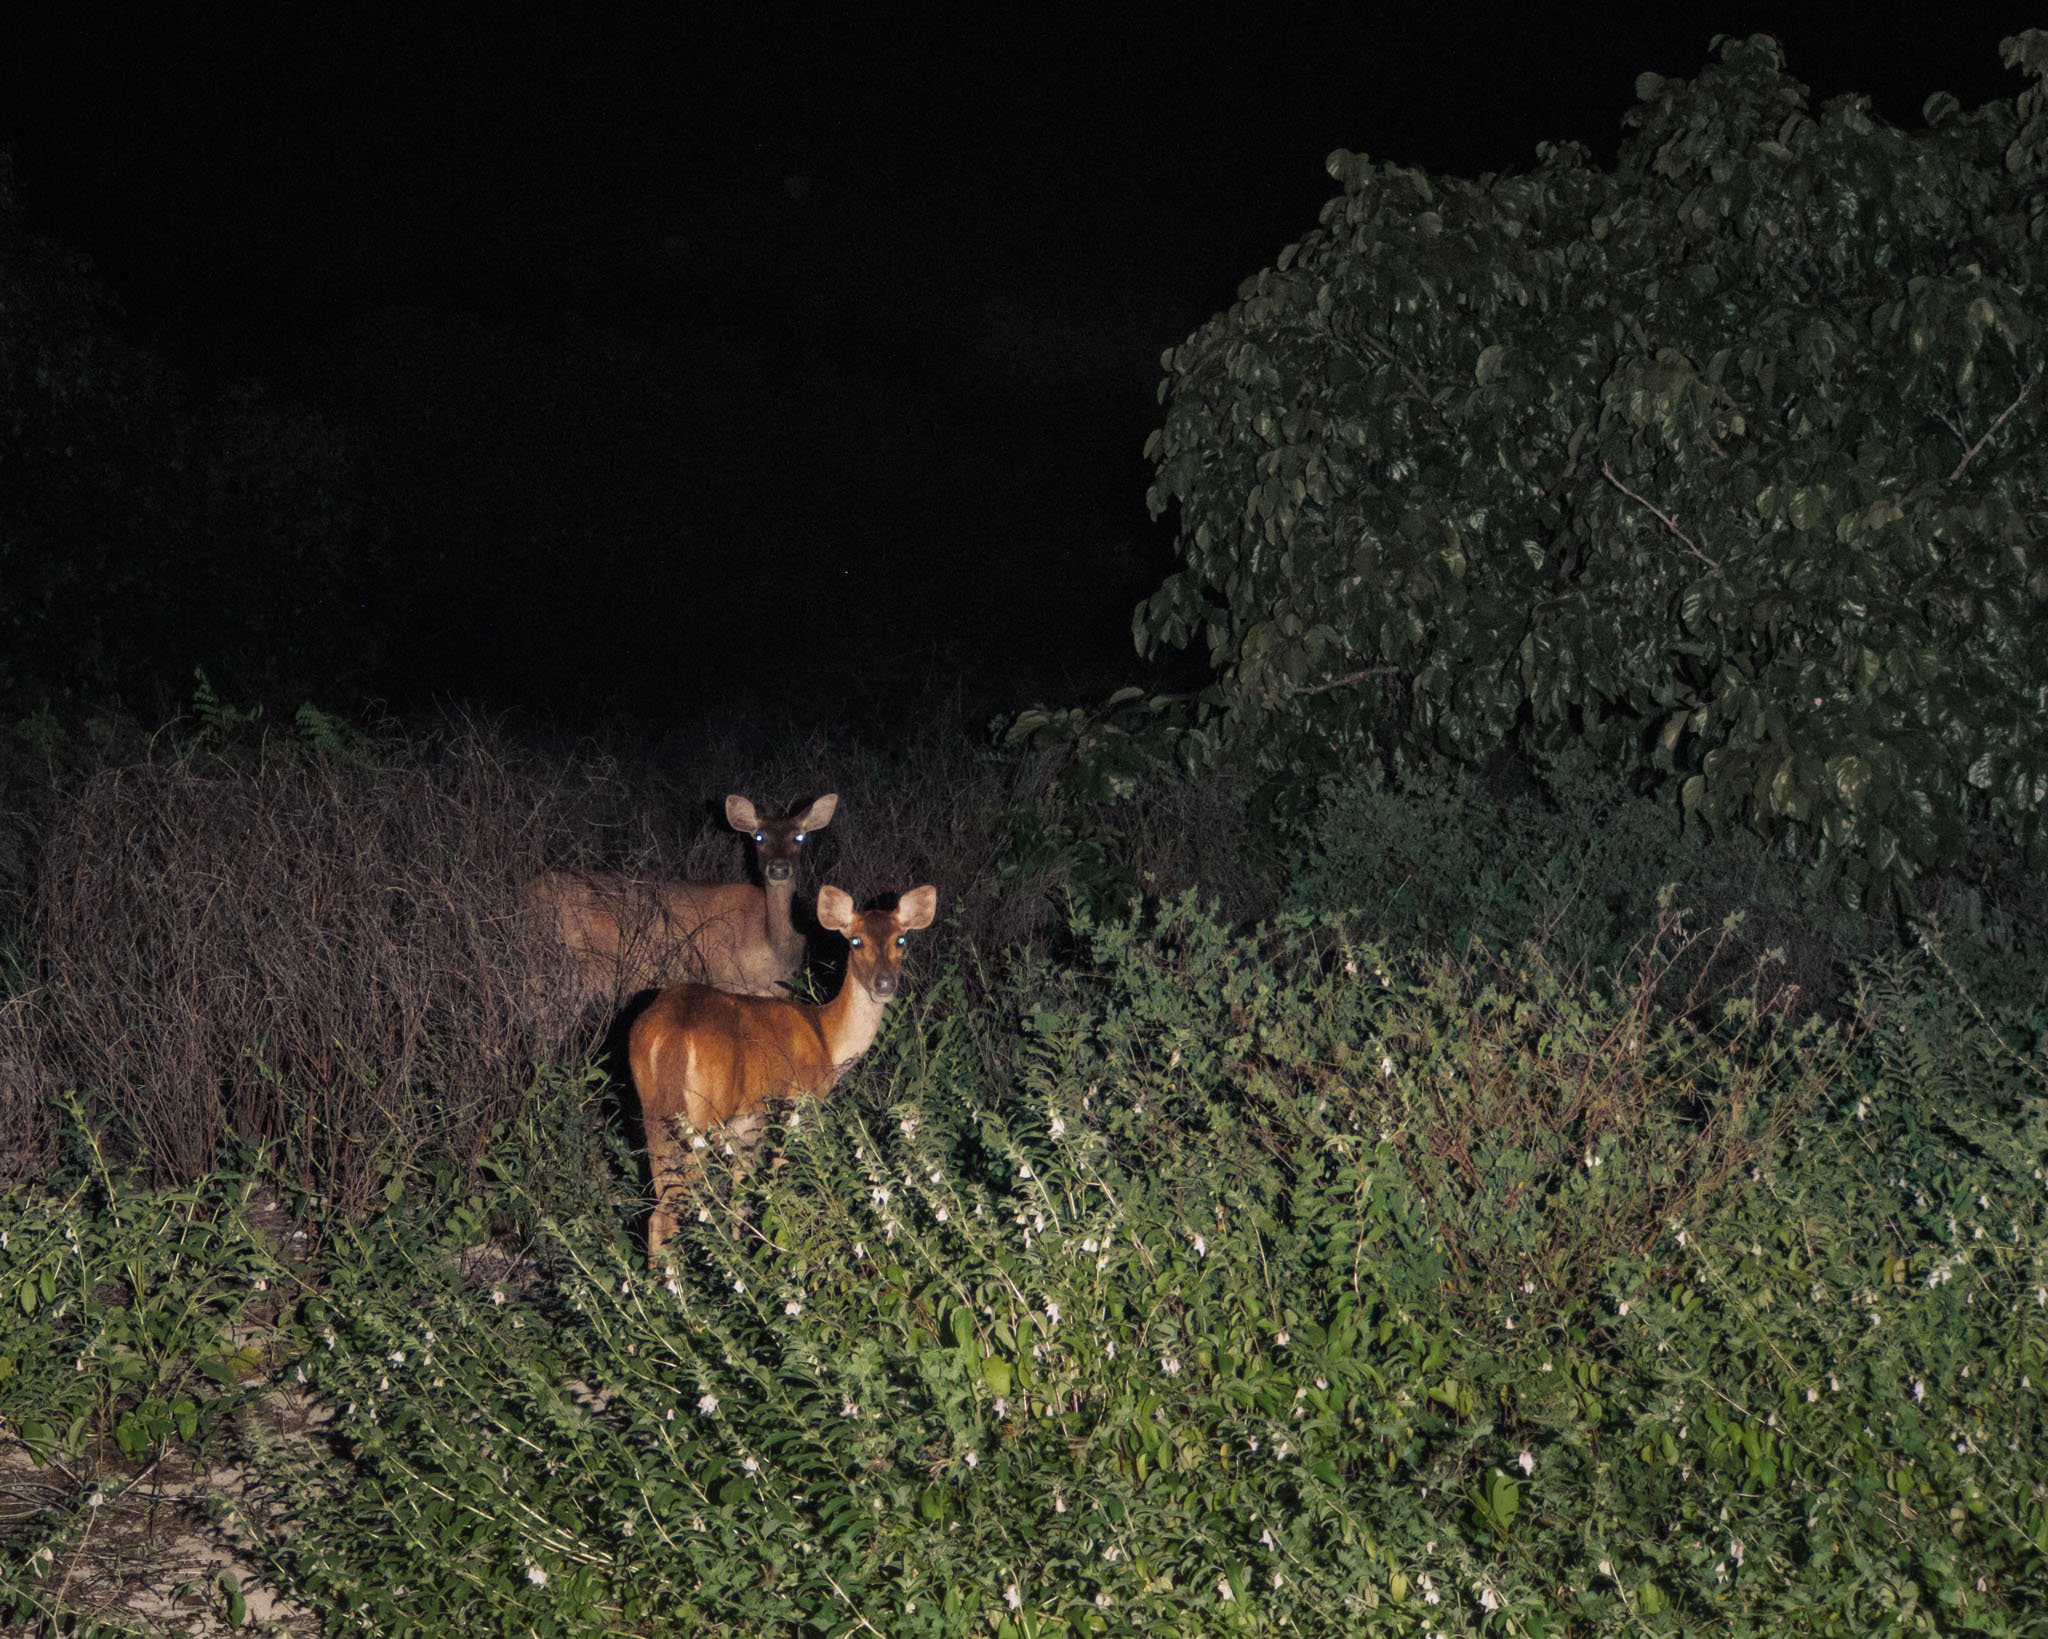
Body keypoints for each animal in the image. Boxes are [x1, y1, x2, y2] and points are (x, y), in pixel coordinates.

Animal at [626, 885, 937, 1270]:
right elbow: (776, 1180)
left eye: (901, 939)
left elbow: (741, 1195)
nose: (884, 983)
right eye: (856, 941)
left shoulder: (747, 1121)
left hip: (654, 1113)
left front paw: (746, 1254)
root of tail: (672, 1037)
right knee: (667, 1213)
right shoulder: (798, 1102)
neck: (826, 1039)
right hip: (700, 1117)